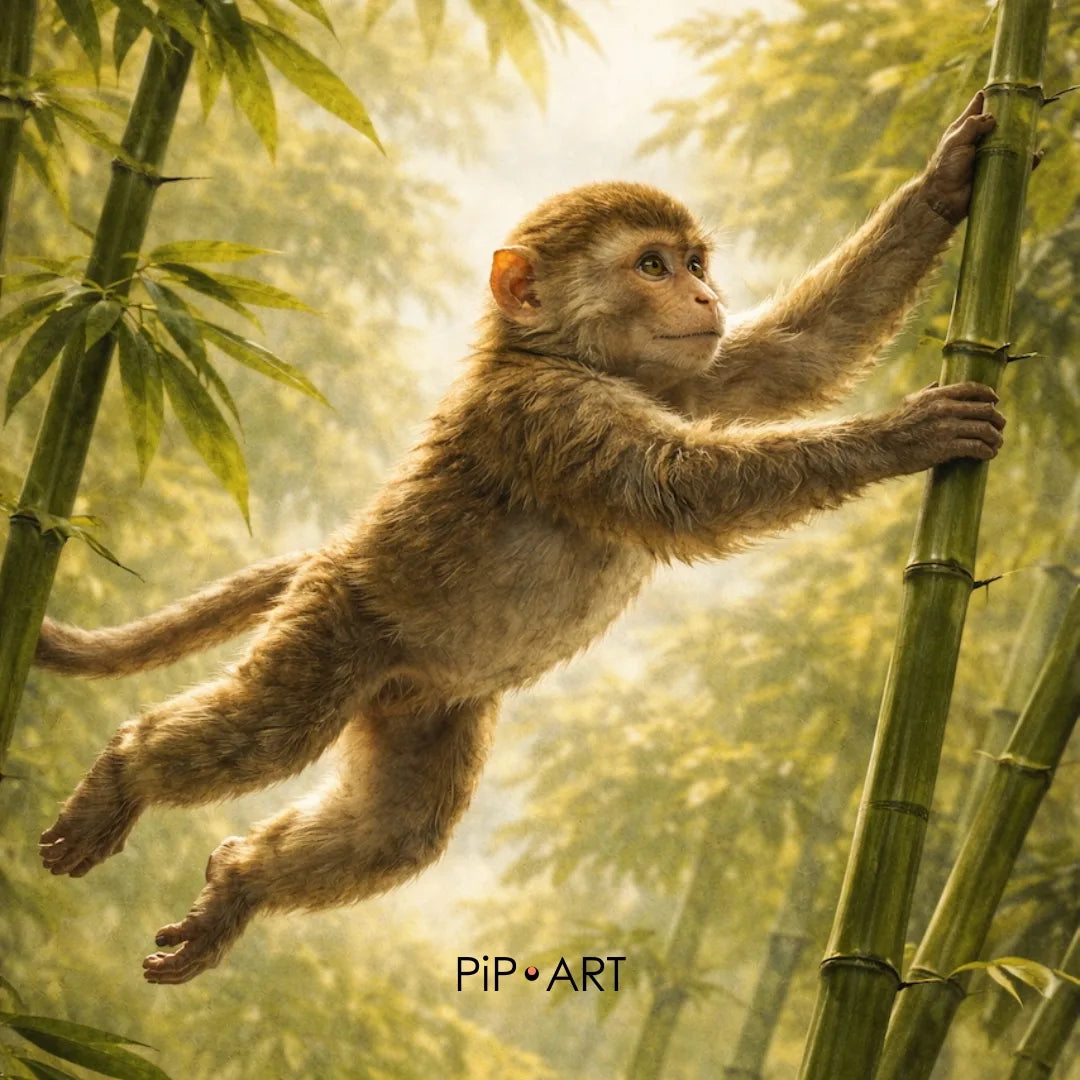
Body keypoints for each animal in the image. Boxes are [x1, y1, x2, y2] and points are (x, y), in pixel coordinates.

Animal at [32, 95, 1005, 984]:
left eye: (692, 263)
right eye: (651, 265)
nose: (704, 294)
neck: (564, 357)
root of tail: (334, 555)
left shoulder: (684, 378)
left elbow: (800, 353)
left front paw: (946, 181)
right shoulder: (546, 416)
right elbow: (683, 490)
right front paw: (903, 436)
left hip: (424, 700)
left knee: (396, 834)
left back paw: (240, 883)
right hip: (338, 624)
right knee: (270, 731)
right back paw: (125, 771)